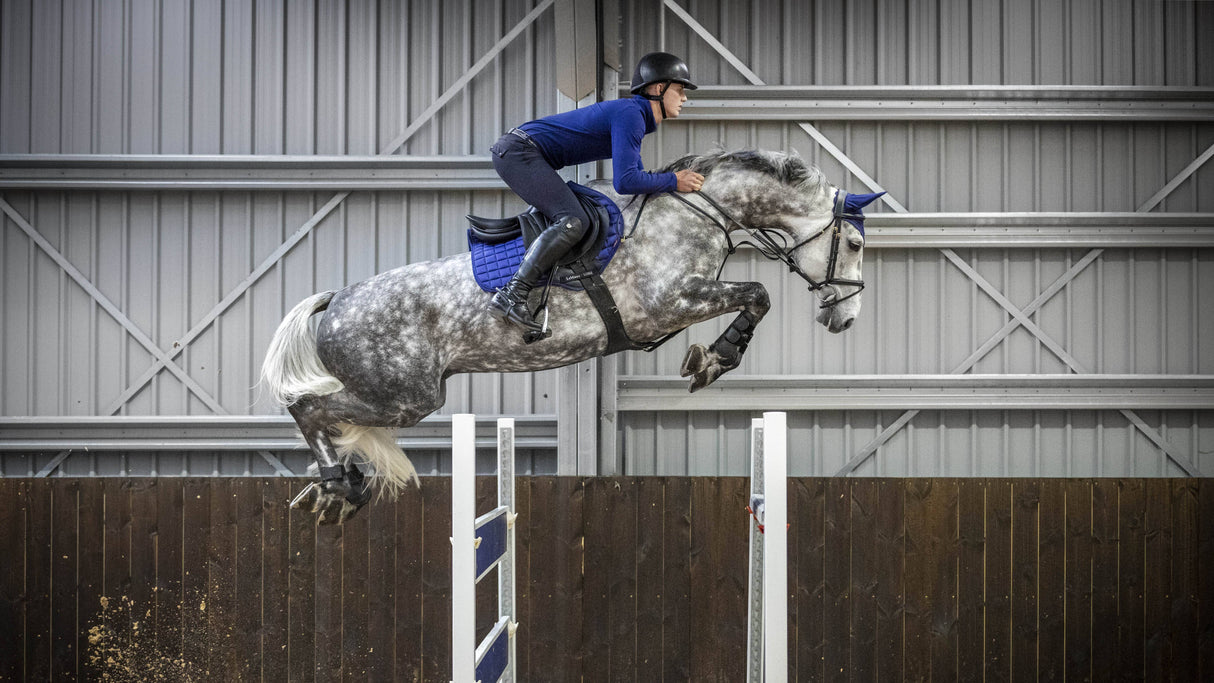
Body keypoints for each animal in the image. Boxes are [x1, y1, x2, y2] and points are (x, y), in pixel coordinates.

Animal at [263, 149, 874, 524]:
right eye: (857, 245)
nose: (845, 318)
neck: (698, 213)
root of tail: (337, 299)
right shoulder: (668, 305)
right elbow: (758, 294)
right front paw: (713, 360)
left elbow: (753, 296)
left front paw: (710, 358)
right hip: (405, 396)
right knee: (310, 408)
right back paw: (338, 489)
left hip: (399, 397)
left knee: (324, 416)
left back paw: (340, 488)